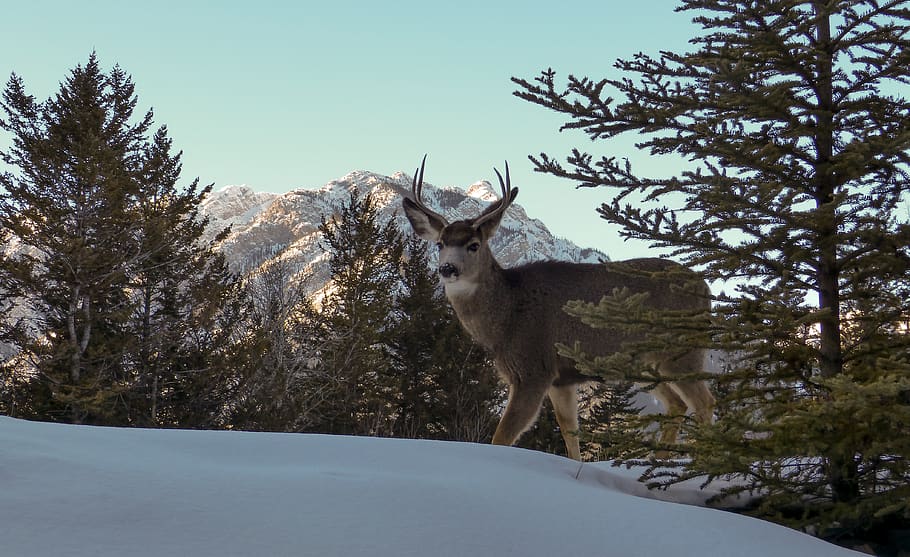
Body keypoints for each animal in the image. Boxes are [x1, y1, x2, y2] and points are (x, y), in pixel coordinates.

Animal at [401, 157, 715, 460]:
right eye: (440, 243)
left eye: (474, 245)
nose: (447, 269)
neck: (506, 317)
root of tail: (705, 288)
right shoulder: (561, 379)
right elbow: (569, 432)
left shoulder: (533, 369)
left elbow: (501, 437)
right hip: (644, 364)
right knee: (677, 403)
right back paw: (659, 461)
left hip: (682, 350)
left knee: (704, 402)